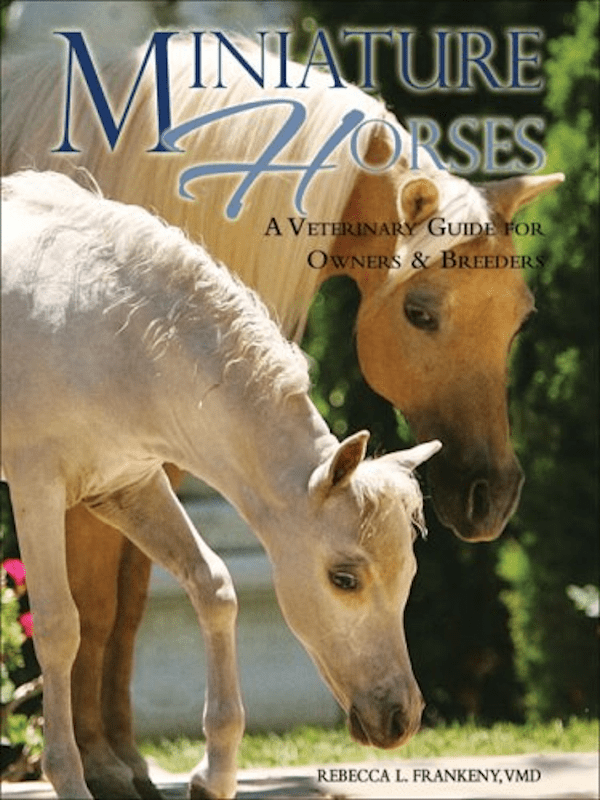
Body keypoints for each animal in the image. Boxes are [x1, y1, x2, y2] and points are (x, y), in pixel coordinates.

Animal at [1, 169, 442, 799]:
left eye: (408, 573)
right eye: (344, 579)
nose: (400, 719)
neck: (107, 331)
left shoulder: (126, 486)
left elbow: (213, 585)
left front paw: (215, 774)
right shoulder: (37, 487)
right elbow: (61, 626)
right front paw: (68, 776)